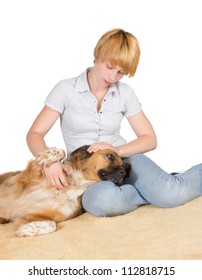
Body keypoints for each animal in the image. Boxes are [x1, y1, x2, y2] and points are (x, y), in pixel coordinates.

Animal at [0, 145, 130, 237]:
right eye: (110, 156)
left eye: (123, 165)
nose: (124, 172)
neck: (72, 185)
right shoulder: (25, 178)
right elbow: (60, 152)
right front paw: (47, 156)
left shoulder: (31, 216)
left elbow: (52, 224)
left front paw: (25, 230)